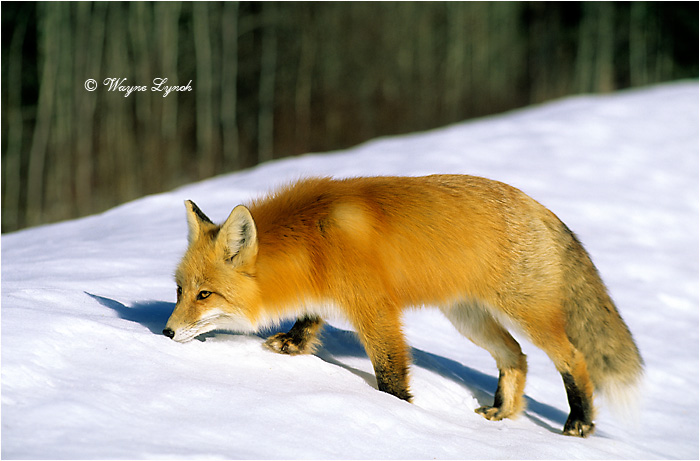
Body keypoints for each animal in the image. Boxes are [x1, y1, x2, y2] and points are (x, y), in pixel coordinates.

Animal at [163, 175, 643, 437]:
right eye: (179, 291)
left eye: (205, 295)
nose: (165, 333)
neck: (314, 242)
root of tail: (542, 209)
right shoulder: (328, 294)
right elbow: (309, 319)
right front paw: (294, 344)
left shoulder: (375, 309)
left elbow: (390, 368)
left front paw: (397, 410)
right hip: (469, 320)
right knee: (516, 358)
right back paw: (503, 413)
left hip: (528, 316)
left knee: (574, 359)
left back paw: (579, 421)